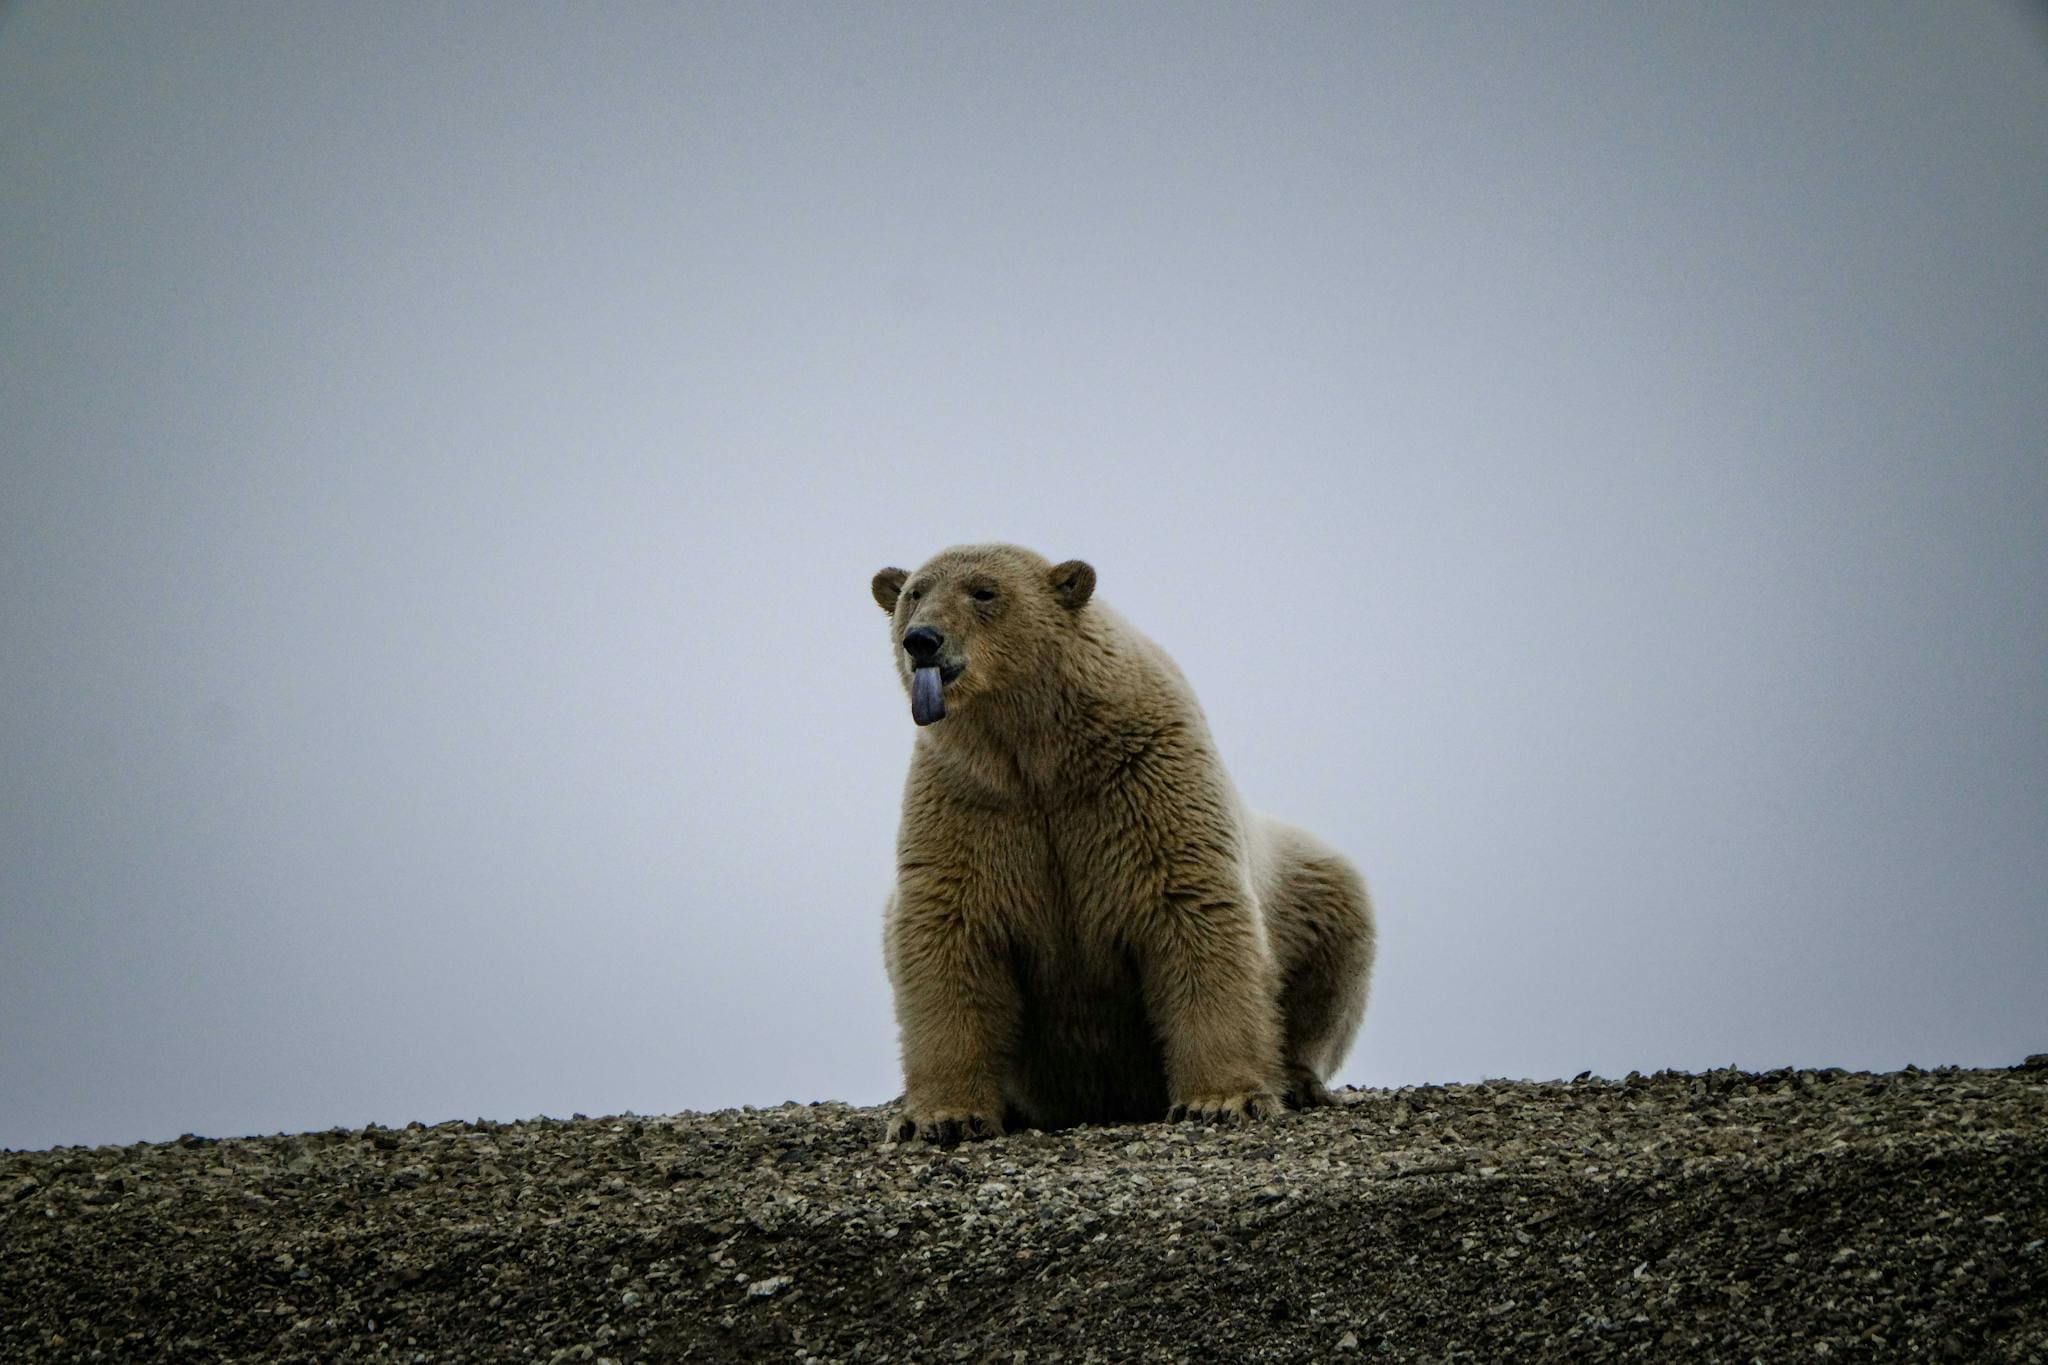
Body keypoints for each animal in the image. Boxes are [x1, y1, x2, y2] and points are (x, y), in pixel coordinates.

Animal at [870, 543, 1375, 1142]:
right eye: (914, 593)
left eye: (984, 591)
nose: (921, 640)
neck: (1043, 757)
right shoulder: (971, 803)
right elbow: (950, 931)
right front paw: (943, 1118)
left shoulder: (1146, 781)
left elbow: (1193, 913)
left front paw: (1221, 1100)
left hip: (1304, 882)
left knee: (1334, 935)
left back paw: (1297, 1079)